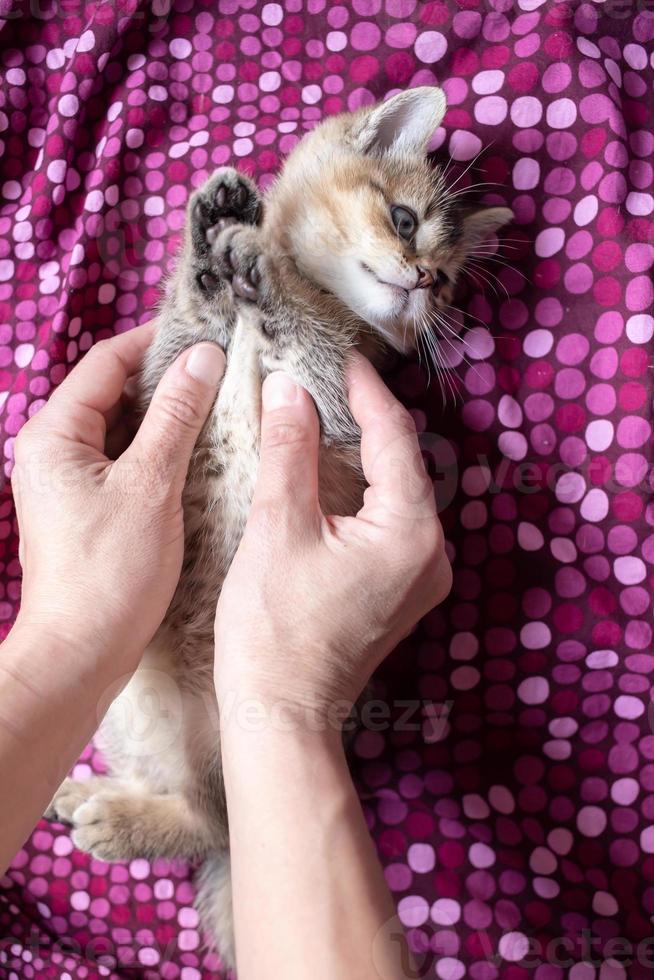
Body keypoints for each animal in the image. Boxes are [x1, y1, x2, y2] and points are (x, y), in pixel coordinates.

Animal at [48, 88, 516, 968]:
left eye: (446, 286)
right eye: (405, 219)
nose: (423, 278)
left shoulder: (336, 399)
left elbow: (301, 327)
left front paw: (260, 267)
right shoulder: (163, 379)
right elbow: (190, 322)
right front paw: (211, 233)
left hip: (225, 749)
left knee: (217, 827)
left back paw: (117, 820)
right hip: (121, 696)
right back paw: (96, 793)